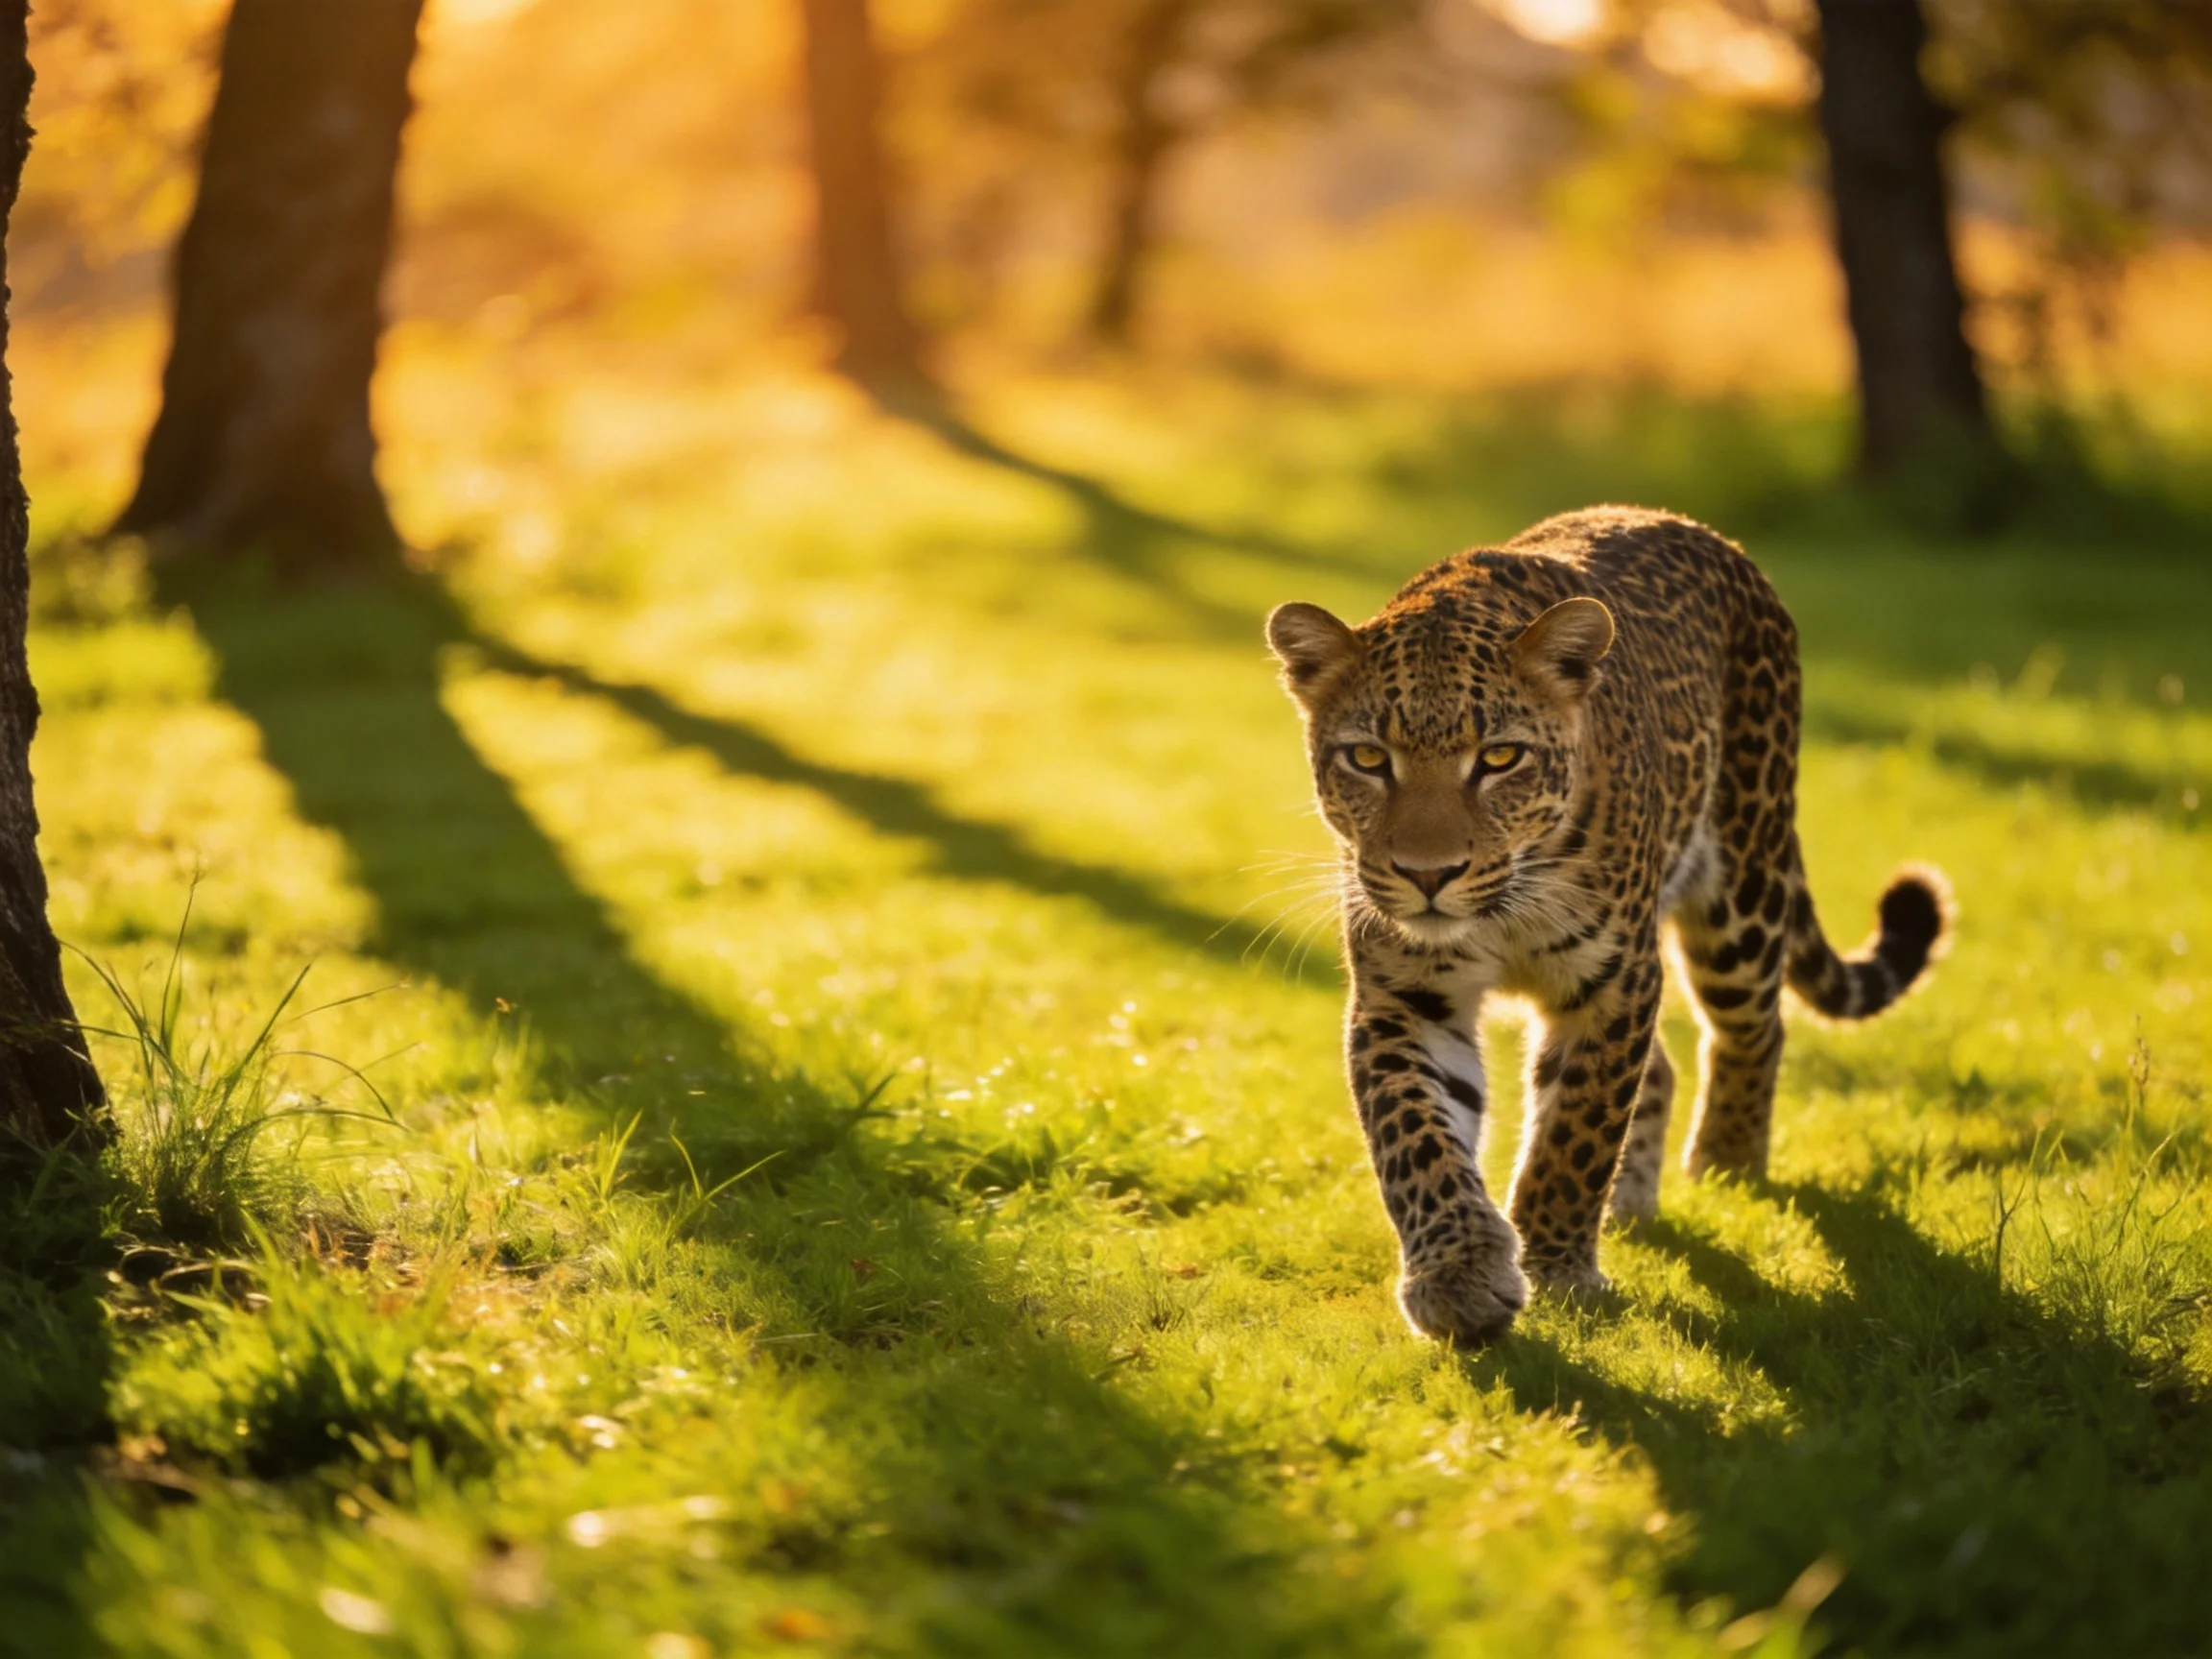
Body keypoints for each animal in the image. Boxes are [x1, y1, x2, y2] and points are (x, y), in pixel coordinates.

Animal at [1266, 506, 1949, 1345]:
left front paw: (1556, 1266)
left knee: (1753, 1028)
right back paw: (1630, 1201)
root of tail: (1703, 532)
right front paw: (1461, 1274)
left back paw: (1726, 1167)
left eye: (1500, 758)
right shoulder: (1405, 994)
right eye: (1366, 758)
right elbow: (1415, 1134)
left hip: (1741, 887)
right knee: (1663, 1068)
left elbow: (1576, 1128)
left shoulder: (1613, 979)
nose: (1429, 876)